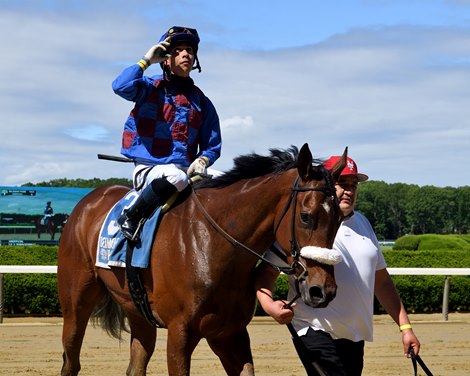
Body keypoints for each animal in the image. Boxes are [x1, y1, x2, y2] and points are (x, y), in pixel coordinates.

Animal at [57, 144, 346, 376]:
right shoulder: (180, 334)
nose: (324, 290)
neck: (213, 245)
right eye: (306, 216)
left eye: (340, 218)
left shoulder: (229, 333)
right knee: (71, 361)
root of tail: (88, 200)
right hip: (76, 303)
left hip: (137, 311)